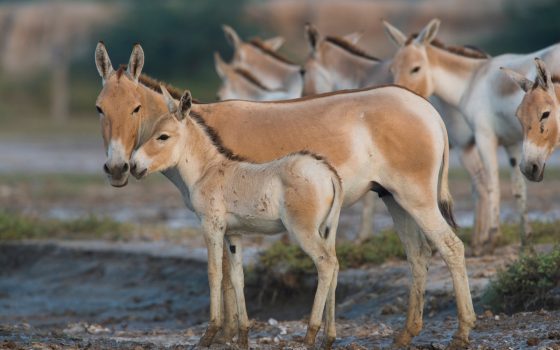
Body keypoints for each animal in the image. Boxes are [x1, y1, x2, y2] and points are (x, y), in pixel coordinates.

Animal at [131, 87, 344, 350]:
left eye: (163, 136)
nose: (133, 166)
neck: (207, 171)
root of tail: (328, 172)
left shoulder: (211, 226)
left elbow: (215, 273)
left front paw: (209, 334)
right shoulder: (234, 234)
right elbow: (236, 277)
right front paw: (243, 336)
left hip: (302, 230)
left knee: (325, 264)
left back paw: (310, 335)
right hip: (327, 229)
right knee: (335, 265)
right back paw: (329, 338)